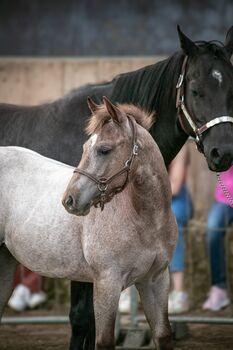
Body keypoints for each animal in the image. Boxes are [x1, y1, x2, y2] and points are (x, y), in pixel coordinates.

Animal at [0, 97, 177, 348]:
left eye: (104, 150)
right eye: (84, 148)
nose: (69, 200)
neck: (146, 221)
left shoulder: (156, 280)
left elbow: (162, 335)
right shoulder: (107, 283)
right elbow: (103, 340)